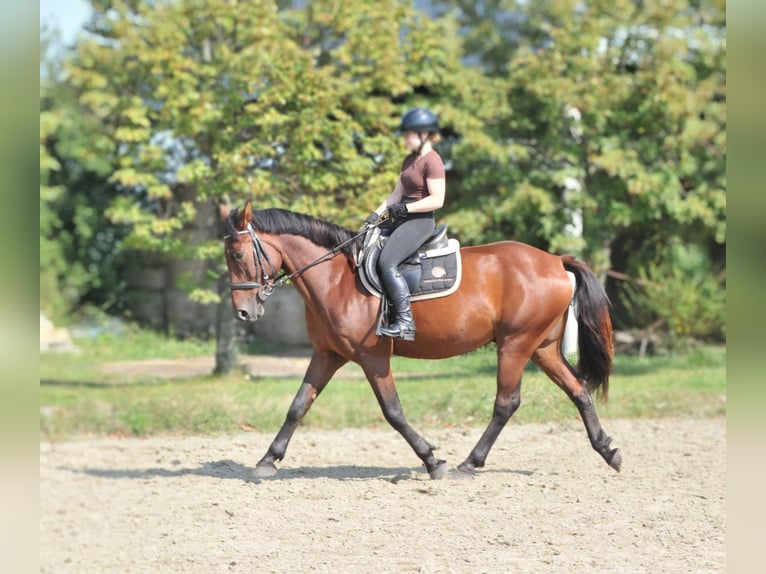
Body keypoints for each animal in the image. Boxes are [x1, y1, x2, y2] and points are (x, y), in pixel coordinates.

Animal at [225, 202, 620, 482]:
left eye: (238, 255)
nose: (243, 313)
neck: (336, 278)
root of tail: (555, 261)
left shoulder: (373, 358)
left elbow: (393, 412)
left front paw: (432, 460)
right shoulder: (328, 354)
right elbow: (298, 406)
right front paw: (268, 459)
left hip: (515, 344)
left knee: (507, 403)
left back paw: (469, 463)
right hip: (541, 348)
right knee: (577, 389)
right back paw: (608, 450)